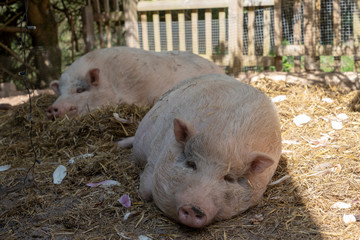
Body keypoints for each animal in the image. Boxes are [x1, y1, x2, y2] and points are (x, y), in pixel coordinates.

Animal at [119, 74, 282, 228]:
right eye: (191, 164)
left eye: (228, 178)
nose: (194, 208)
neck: (225, 135)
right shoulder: (156, 151)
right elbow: (145, 191)